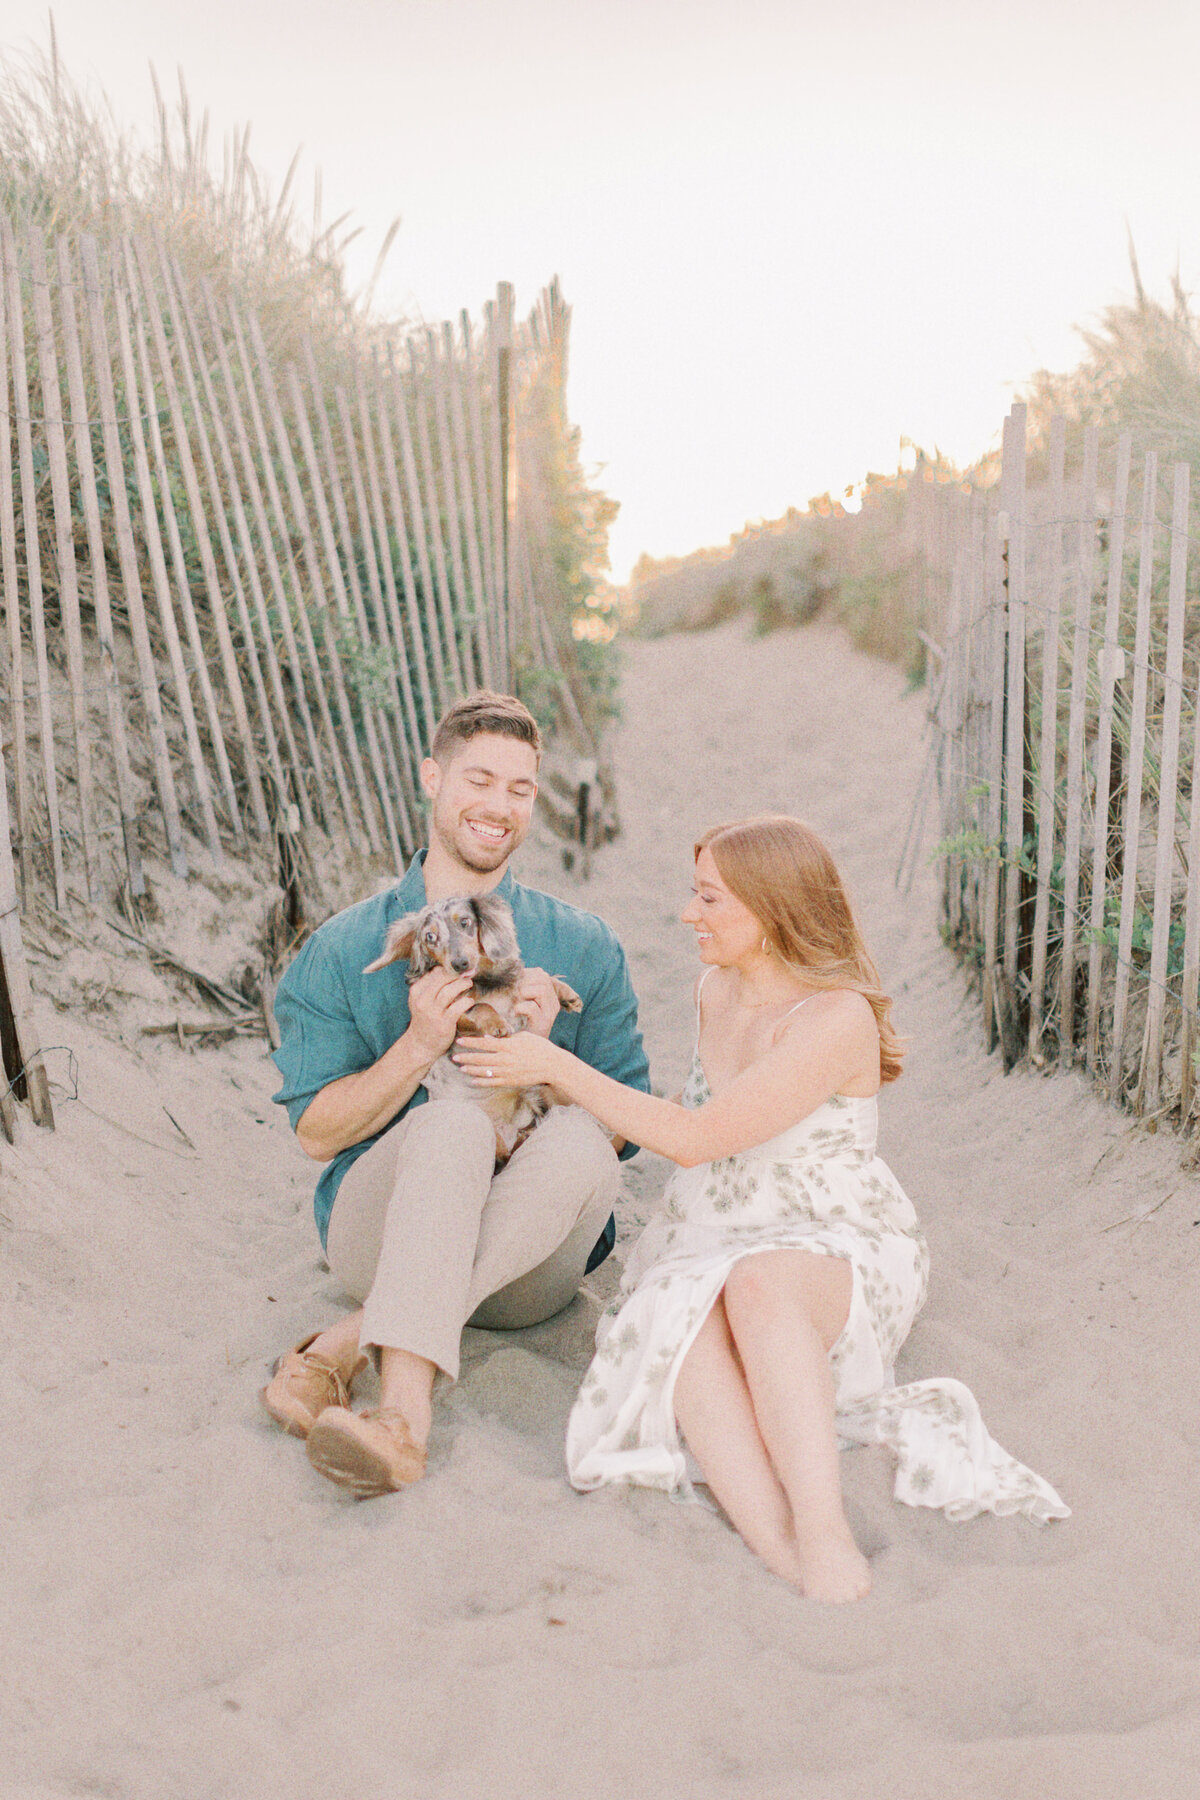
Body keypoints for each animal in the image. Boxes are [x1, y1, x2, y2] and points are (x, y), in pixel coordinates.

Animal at [367, 896, 582, 1166]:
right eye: (430, 936)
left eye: (465, 922)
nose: (460, 964)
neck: (483, 981)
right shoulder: (456, 1015)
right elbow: (481, 1005)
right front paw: (497, 1024)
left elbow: (531, 977)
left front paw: (565, 994)